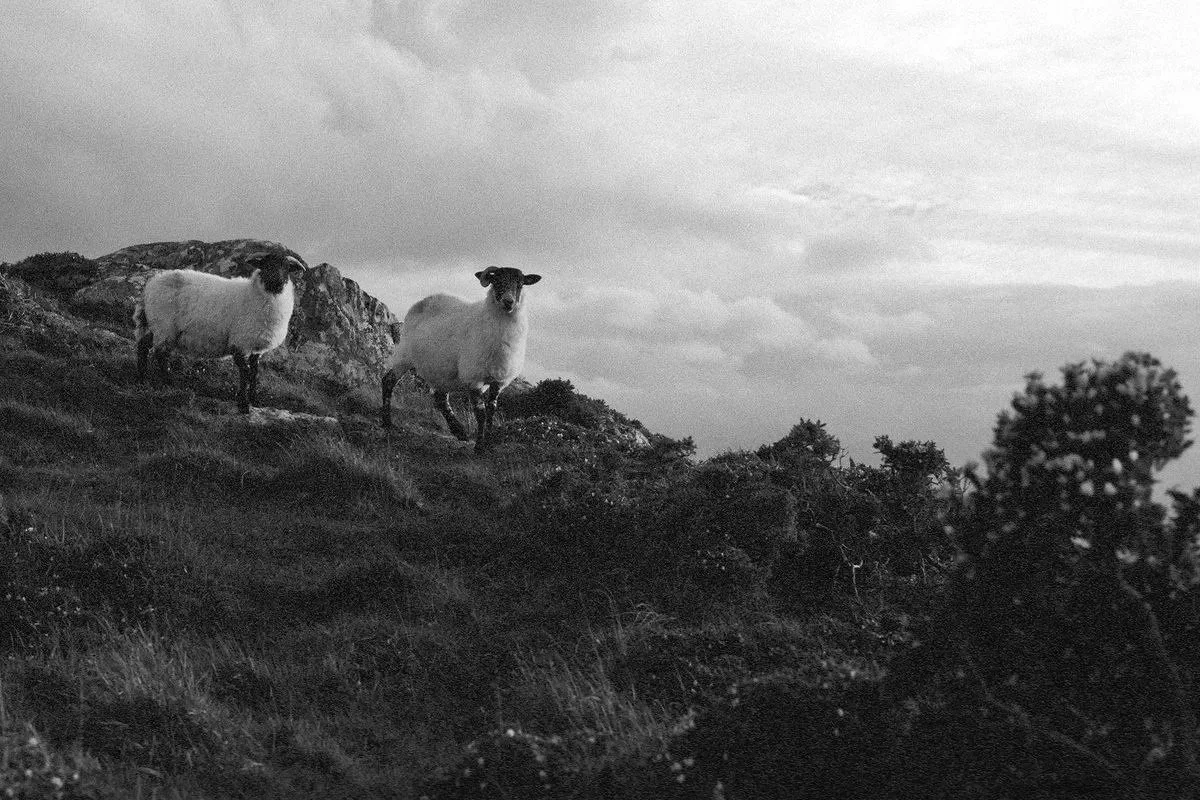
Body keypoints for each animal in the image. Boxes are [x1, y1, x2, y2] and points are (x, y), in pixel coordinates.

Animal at [133, 250, 306, 413]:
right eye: (265, 265)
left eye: (286, 268)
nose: (277, 282)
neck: (255, 294)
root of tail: (150, 285)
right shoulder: (239, 343)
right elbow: (245, 372)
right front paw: (243, 405)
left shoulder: (256, 347)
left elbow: (254, 373)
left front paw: (254, 400)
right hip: (165, 326)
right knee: (161, 354)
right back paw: (168, 383)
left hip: (155, 326)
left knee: (143, 346)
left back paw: (142, 380)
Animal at [381, 265, 542, 449]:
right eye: (496, 281)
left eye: (520, 284)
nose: (509, 302)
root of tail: (423, 301)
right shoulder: (474, 379)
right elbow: (480, 413)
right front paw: (479, 447)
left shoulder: (499, 381)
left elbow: (491, 410)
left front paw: (489, 442)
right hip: (405, 355)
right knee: (388, 381)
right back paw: (386, 421)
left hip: (441, 369)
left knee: (440, 398)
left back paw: (459, 430)